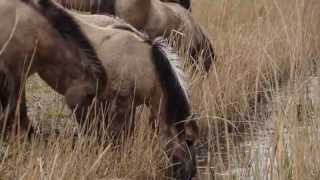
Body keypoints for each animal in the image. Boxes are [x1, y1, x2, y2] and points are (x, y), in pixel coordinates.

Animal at [0, 0, 106, 137]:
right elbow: (13, 106)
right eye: (90, 95)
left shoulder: (16, 76)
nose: (97, 130)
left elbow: (17, 105)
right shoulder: (14, 75)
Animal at [33, 0, 198, 179]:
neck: (146, 66)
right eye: (189, 140)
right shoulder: (120, 104)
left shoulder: (127, 105)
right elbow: (118, 136)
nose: (191, 173)